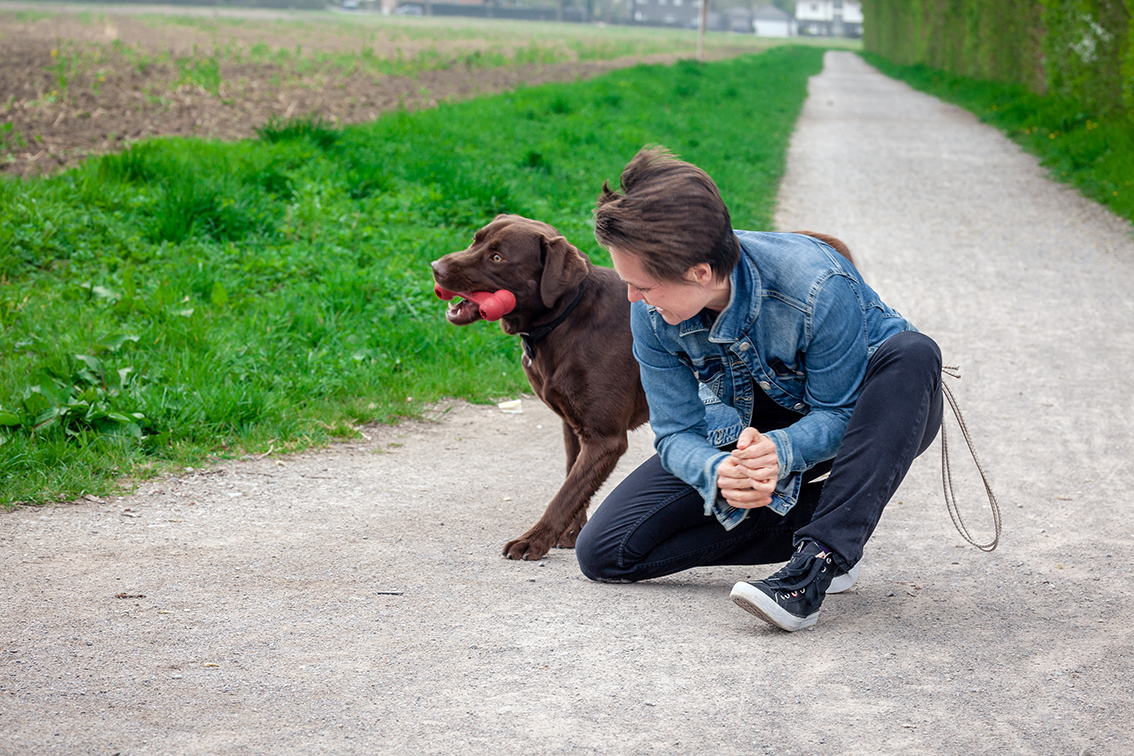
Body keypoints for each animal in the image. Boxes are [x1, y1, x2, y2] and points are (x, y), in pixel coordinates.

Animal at [428, 215, 852, 559]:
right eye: (475, 240)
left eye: (498, 258)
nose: (435, 267)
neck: (566, 318)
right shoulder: (573, 426)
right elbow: (572, 479)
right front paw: (568, 532)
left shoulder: (605, 437)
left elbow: (565, 491)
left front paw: (534, 540)